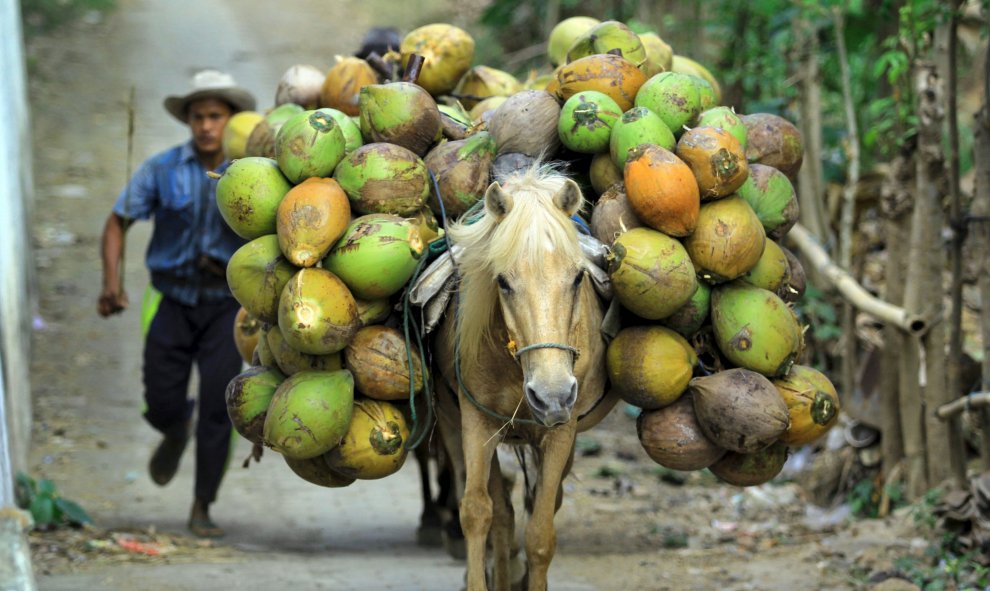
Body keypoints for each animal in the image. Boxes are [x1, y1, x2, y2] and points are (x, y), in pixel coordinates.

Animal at [434, 166, 620, 591]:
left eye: (578, 278)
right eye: (502, 281)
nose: (551, 396)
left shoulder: (561, 431)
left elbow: (540, 533)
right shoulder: (476, 421)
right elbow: (477, 512)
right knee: (498, 509)